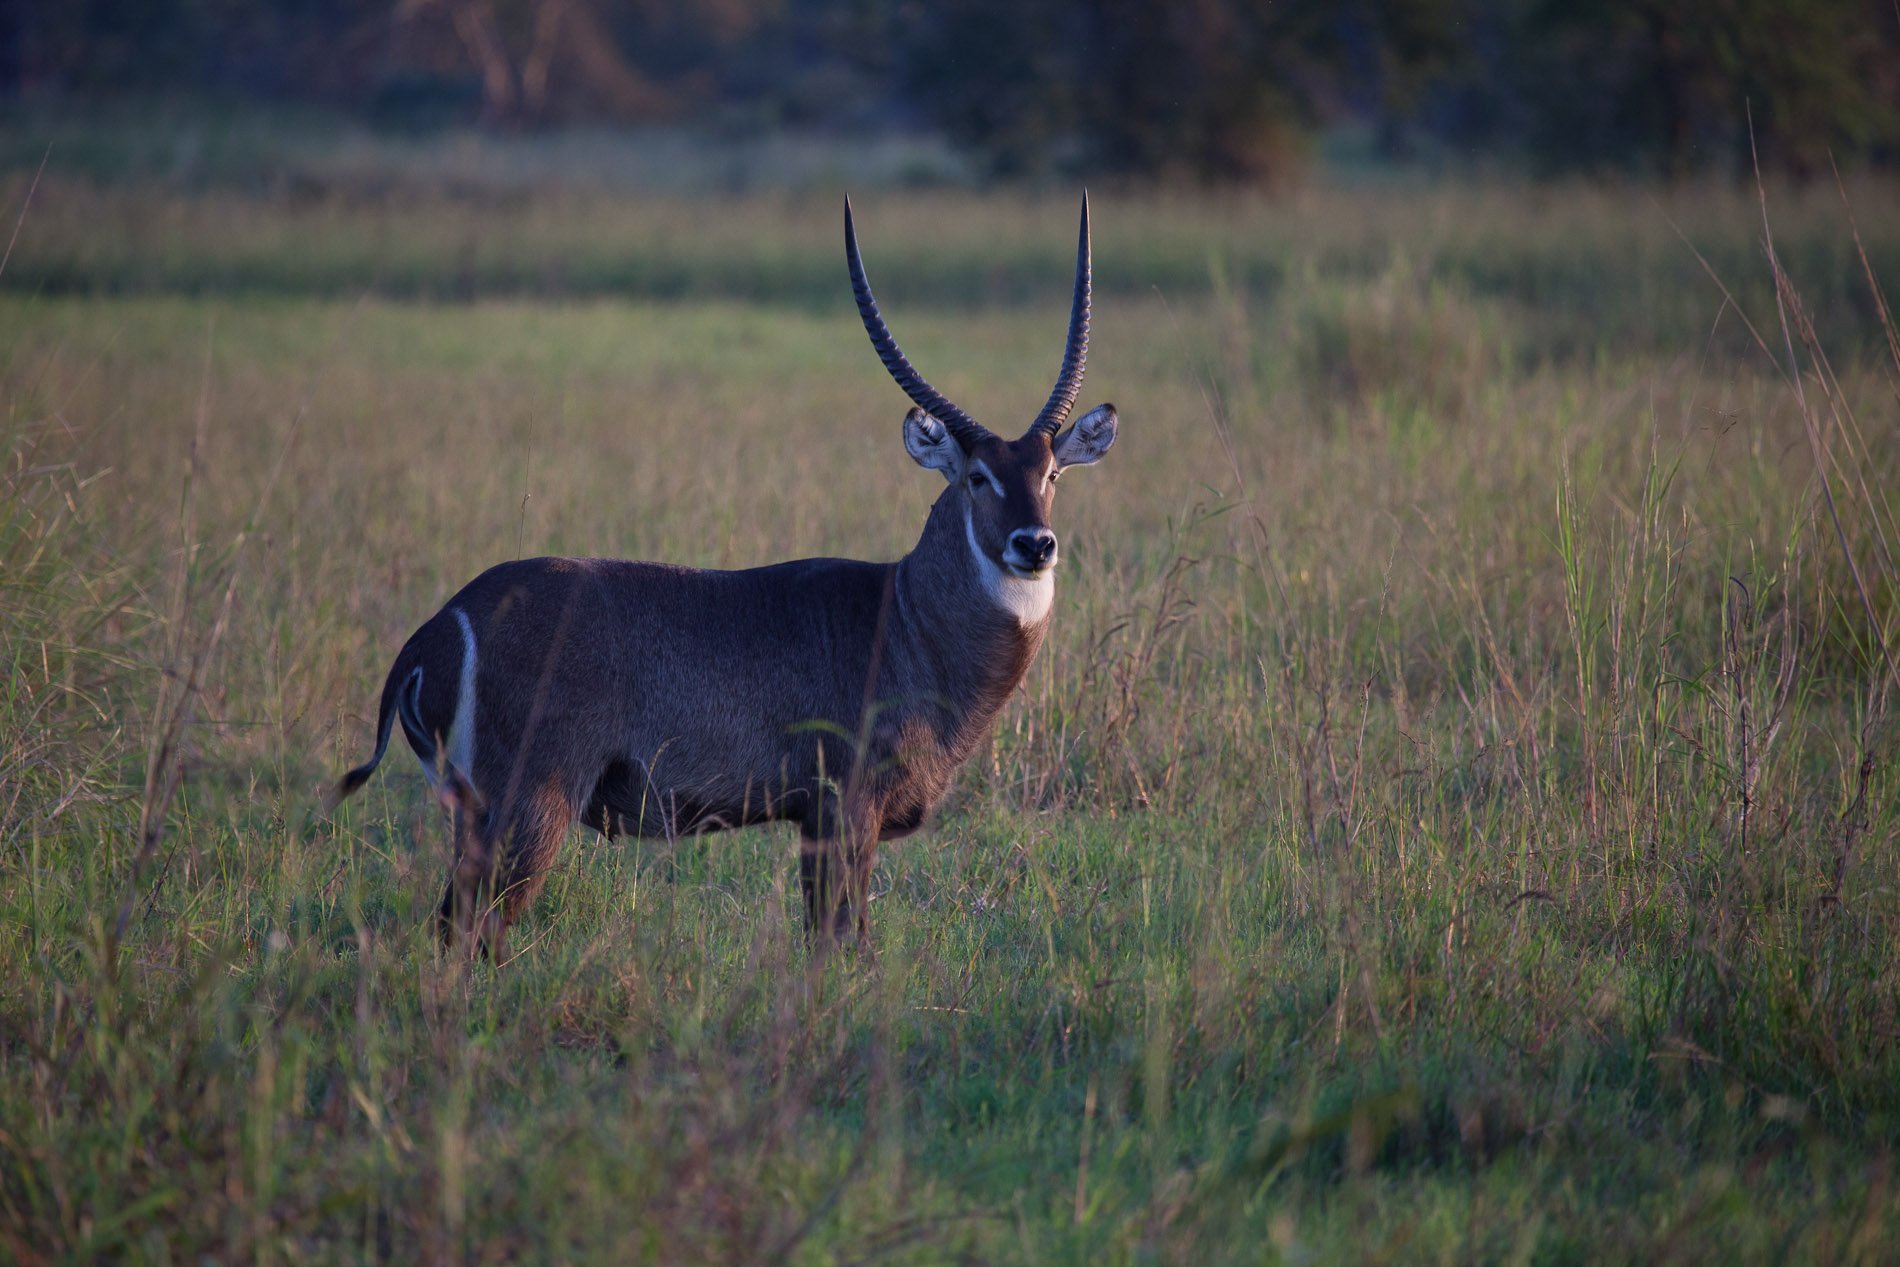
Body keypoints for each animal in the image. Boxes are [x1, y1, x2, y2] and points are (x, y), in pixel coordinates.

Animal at [334, 195, 1117, 949]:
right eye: (978, 477)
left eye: (1051, 474)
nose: (1035, 544)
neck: (907, 617)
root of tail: (437, 627)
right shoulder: (842, 808)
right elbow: (841, 942)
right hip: (528, 803)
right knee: (466, 927)